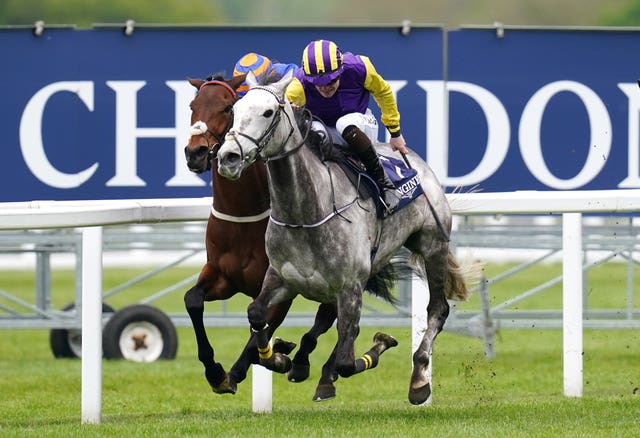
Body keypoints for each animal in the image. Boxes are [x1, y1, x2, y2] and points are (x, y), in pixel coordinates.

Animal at [182, 74, 338, 396]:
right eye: (192, 105)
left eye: (227, 108)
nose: (195, 152)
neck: (244, 217)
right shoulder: (222, 276)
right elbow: (193, 300)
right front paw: (215, 371)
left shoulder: (280, 287)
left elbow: (259, 334)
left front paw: (254, 365)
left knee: (328, 316)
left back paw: (310, 364)